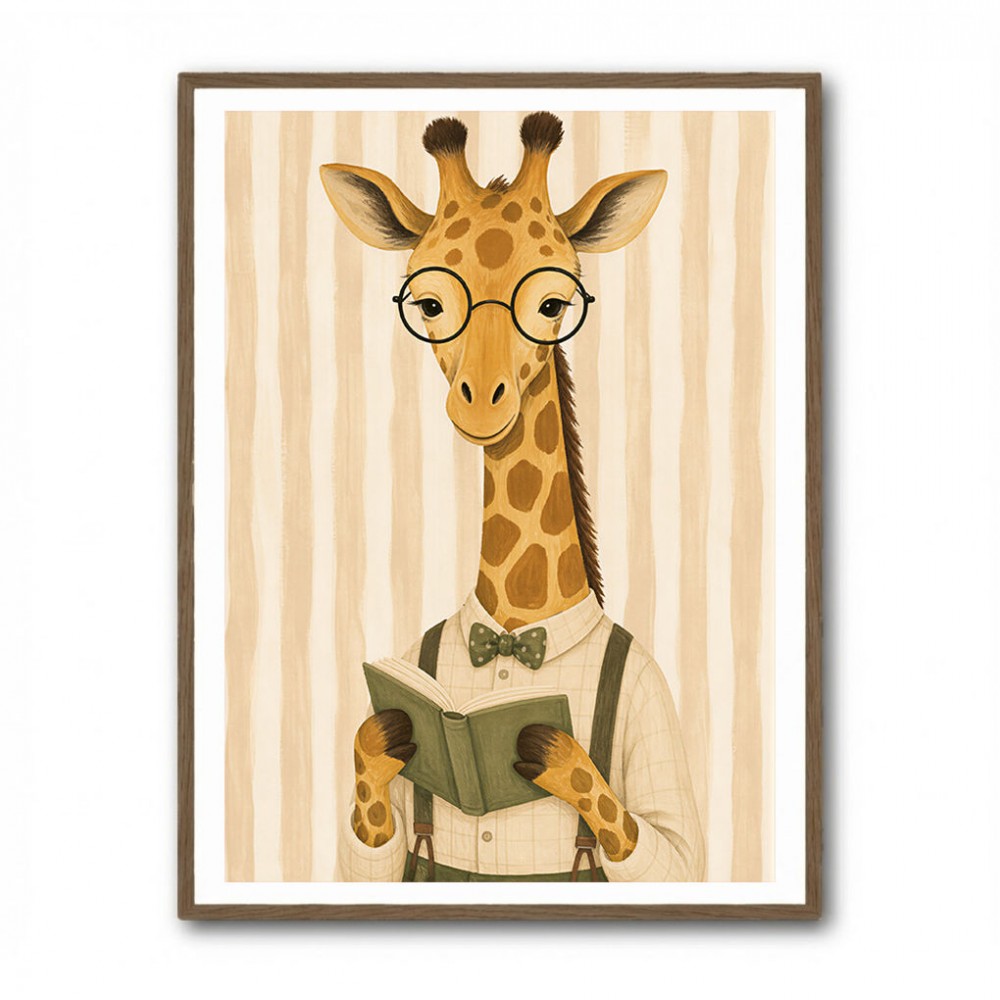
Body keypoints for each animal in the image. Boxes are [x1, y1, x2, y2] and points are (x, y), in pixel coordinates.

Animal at [321, 112, 667, 866]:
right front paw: (388, 738)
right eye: (429, 302)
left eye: (553, 302)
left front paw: (552, 755)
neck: (514, 632)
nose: (481, 402)